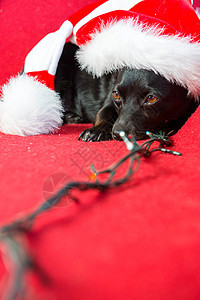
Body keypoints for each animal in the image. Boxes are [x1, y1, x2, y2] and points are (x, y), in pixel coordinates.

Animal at [54, 42, 198, 142]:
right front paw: (96, 130)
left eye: (151, 98)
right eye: (116, 94)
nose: (119, 133)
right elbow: (103, 115)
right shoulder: (108, 104)